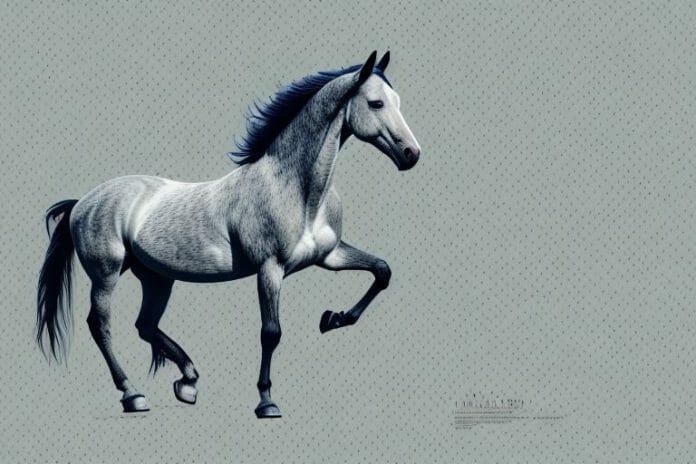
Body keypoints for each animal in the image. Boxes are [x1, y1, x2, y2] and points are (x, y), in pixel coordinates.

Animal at [36, 51, 421, 418]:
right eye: (376, 103)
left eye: (397, 100)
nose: (411, 155)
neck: (296, 191)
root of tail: (82, 202)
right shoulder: (270, 269)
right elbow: (271, 332)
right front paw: (266, 402)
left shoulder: (330, 256)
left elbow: (382, 271)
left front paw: (333, 319)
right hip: (107, 274)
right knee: (100, 325)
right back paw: (133, 395)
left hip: (156, 277)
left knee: (144, 325)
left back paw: (188, 381)